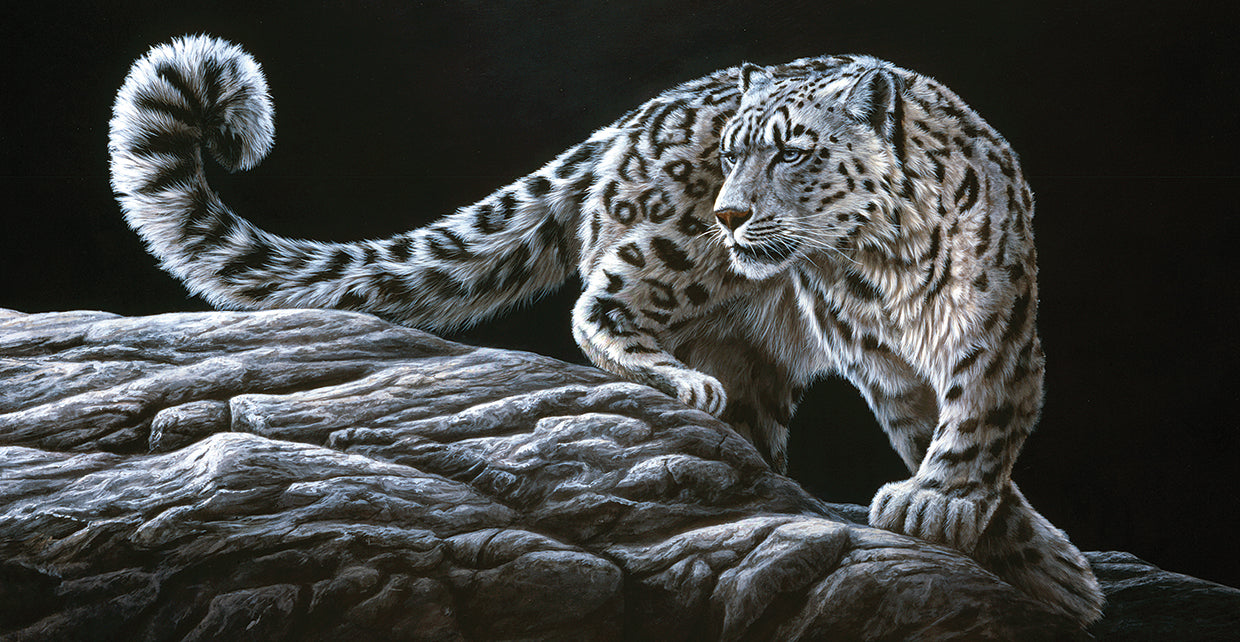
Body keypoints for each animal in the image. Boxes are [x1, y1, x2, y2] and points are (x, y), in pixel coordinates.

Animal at [108, 35, 1103, 623]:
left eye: (793, 149)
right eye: (734, 150)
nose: (732, 212)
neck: (884, 268)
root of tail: (627, 122)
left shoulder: (998, 326)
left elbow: (977, 421)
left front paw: (1009, 542)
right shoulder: (880, 359)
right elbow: (947, 429)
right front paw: (982, 527)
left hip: (748, 339)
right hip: (668, 248)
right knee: (601, 303)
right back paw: (675, 380)